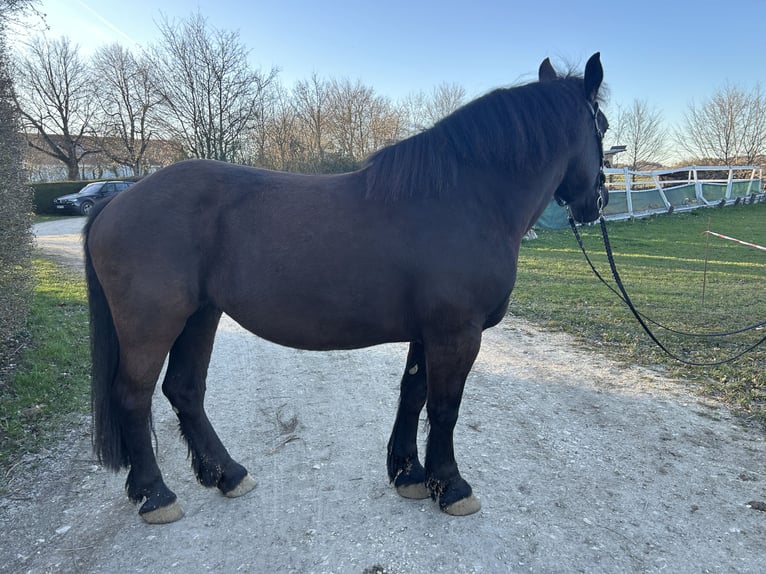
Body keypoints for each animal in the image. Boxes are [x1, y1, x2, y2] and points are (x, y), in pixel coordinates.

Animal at [84, 53, 608, 524]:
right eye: (601, 125)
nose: (595, 201)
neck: (466, 200)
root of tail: (117, 203)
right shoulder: (457, 333)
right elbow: (444, 408)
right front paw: (451, 486)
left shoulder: (427, 332)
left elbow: (412, 394)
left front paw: (408, 474)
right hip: (153, 325)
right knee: (133, 397)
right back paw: (156, 495)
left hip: (200, 315)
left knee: (185, 389)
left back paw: (228, 475)